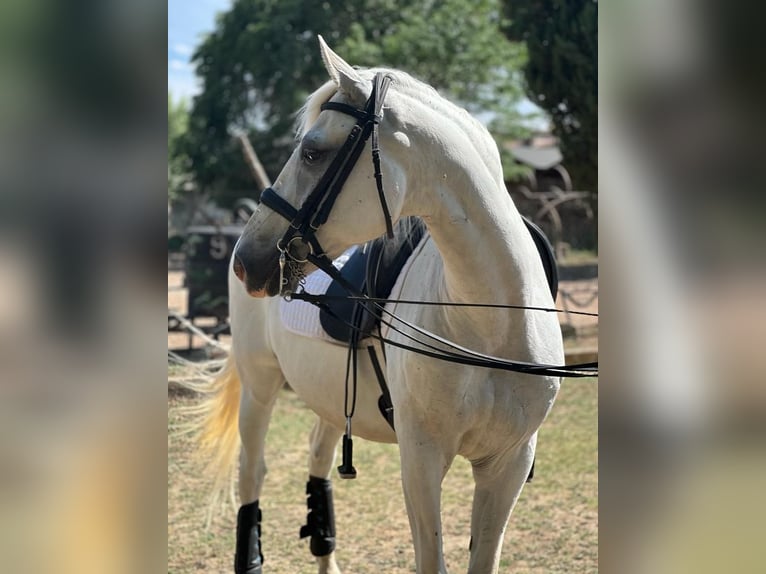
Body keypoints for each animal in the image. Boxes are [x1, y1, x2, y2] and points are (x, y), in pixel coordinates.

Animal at [200, 37, 564, 574]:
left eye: (312, 151)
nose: (248, 260)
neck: (489, 323)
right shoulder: (421, 461)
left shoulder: (508, 465)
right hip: (259, 383)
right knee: (252, 474)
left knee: (317, 459)